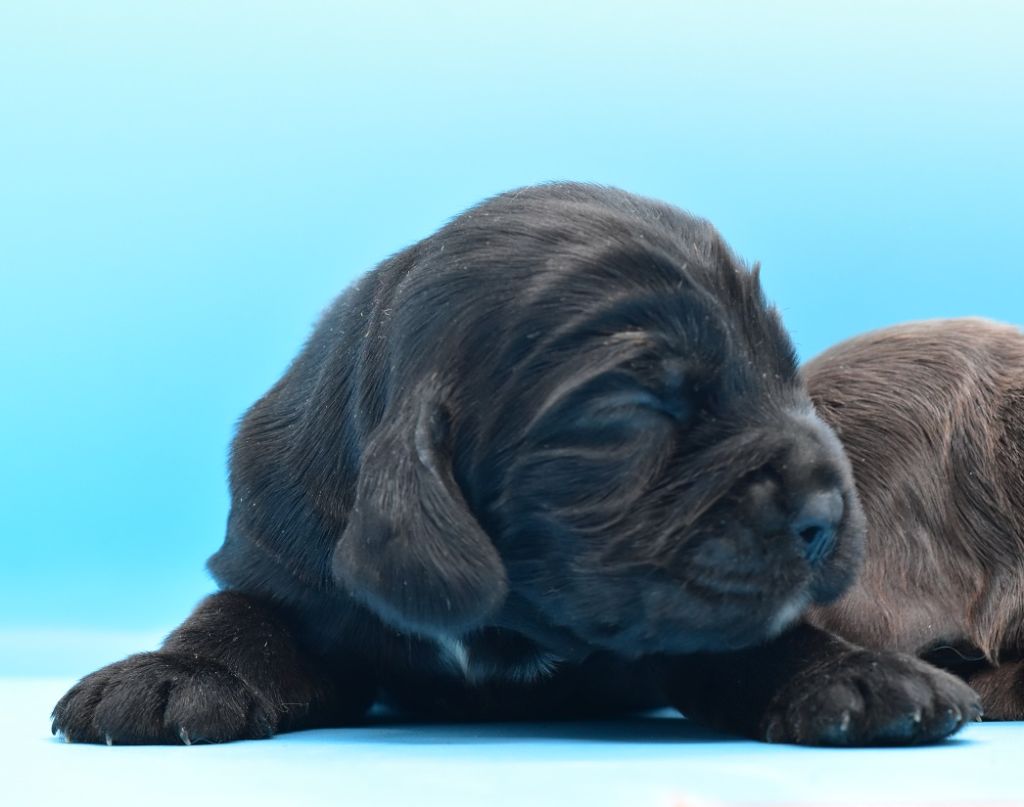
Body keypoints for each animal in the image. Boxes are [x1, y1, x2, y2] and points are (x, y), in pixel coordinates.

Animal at [51, 183, 979, 746]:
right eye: (635, 410)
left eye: (787, 376)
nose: (828, 512)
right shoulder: (279, 555)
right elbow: (236, 613)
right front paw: (175, 672)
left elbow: (752, 638)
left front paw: (855, 672)